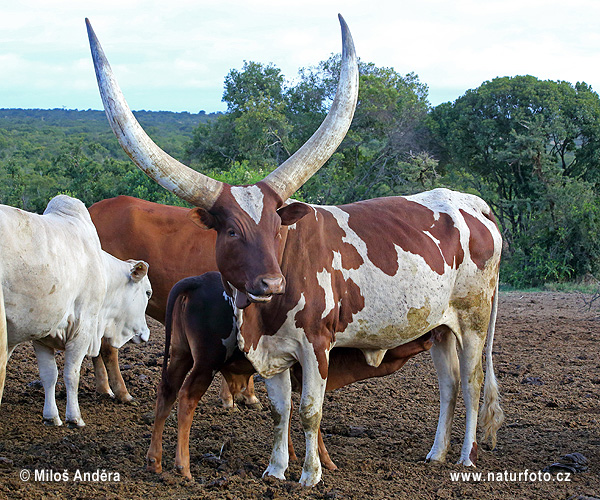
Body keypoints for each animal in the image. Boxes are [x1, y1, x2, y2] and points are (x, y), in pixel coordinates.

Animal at [1, 195, 151, 426]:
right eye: (148, 293)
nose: (145, 333)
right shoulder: (83, 330)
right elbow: (72, 374)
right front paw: (74, 417)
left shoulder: (42, 337)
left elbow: (49, 375)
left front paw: (51, 417)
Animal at [146, 272, 434, 478]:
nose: (431, 334)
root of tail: (197, 281)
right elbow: (311, 417)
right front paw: (324, 462)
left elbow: (290, 411)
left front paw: (291, 455)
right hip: (206, 362)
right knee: (186, 398)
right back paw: (183, 466)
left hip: (181, 354)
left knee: (167, 392)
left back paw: (154, 459)